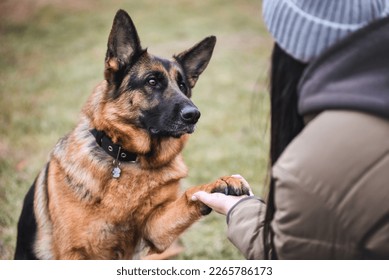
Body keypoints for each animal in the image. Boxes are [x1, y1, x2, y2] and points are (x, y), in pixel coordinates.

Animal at [14, 9, 249, 260]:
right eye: (152, 81)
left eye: (183, 86)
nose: (194, 115)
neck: (128, 158)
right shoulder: (73, 252)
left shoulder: (155, 228)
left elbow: (189, 195)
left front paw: (220, 183)